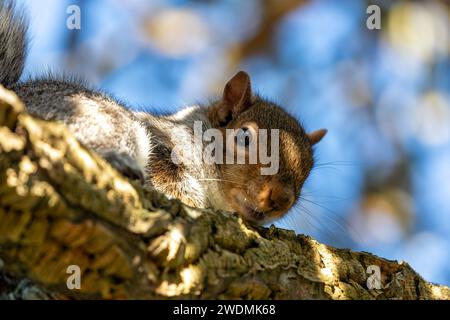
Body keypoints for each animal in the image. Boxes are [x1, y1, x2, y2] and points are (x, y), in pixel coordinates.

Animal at [0, 0, 326, 225]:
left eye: (310, 169)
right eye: (244, 138)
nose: (280, 199)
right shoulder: (164, 146)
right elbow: (169, 178)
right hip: (105, 120)